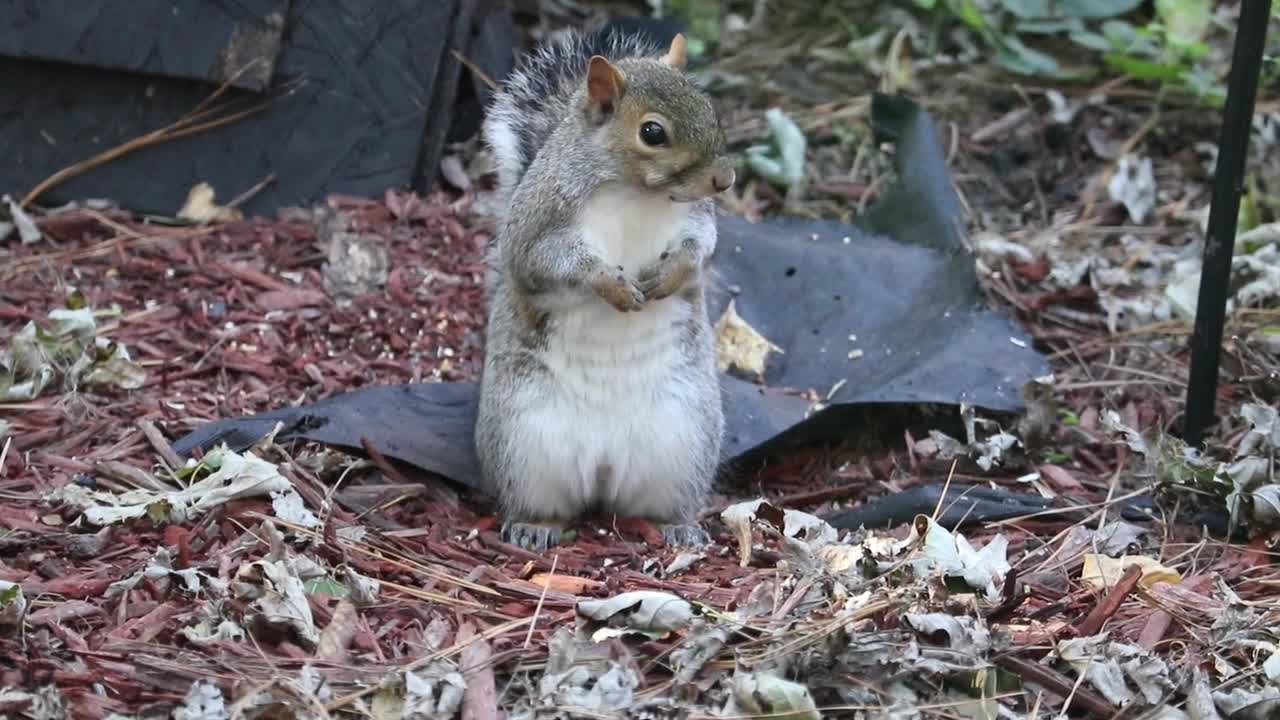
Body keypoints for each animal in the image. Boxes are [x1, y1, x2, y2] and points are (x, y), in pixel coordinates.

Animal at [473, 28, 737, 548]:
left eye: (708, 107)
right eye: (652, 132)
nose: (725, 179)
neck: (637, 193)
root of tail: (602, 468)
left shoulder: (695, 220)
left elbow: (700, 248)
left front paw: (669, 275)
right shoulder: (538, 224)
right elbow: (544, 261)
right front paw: (611, 285)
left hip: (682, 441)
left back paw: (678, 528)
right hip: (523, 442)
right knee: (537, 500)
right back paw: (534, 526)